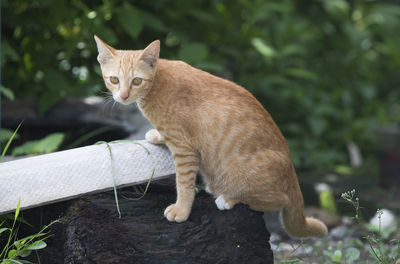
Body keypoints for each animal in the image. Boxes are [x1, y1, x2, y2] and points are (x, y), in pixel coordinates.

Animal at [94, 34, 328, 238]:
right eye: (114, 79)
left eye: (136, 81)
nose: (123, 96)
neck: (157, 83)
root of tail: (291, 169)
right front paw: (157, 135)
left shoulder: (184, 149)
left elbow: (184, 184)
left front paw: (181, 210)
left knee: (279, 200)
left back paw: (229, 199)